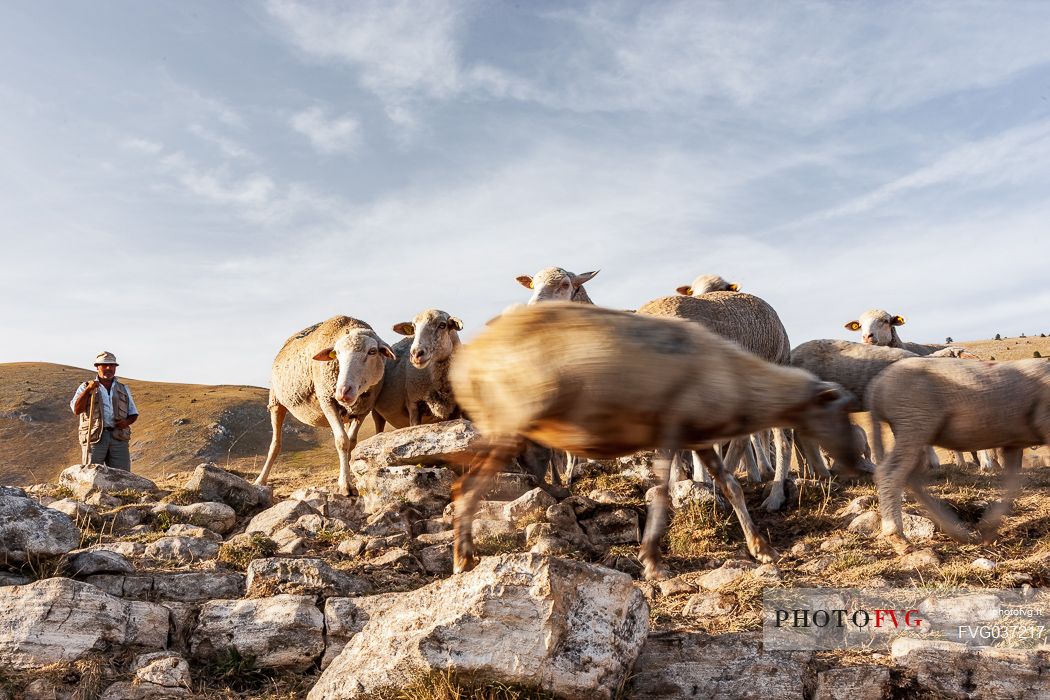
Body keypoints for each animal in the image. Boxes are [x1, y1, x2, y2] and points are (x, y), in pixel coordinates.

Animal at [254, 314, 394, 495]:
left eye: (372, 351)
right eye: (337, 353)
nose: (343, 391)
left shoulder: (363, 410)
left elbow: (351, 443)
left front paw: (350, 476)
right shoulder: (327, 400)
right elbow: (342, 441)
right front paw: (345, 485)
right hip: (276, 402)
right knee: (275, 445)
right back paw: (260, 480)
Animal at [860, 358, 1050, 554]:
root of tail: (877, 387)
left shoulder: (1012, 443)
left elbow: (1012, 484)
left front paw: (988, 527)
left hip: (913, 430)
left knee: (911, 477)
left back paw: (957, 531)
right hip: (913, 424)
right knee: (890, 473)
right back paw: (897, 536)